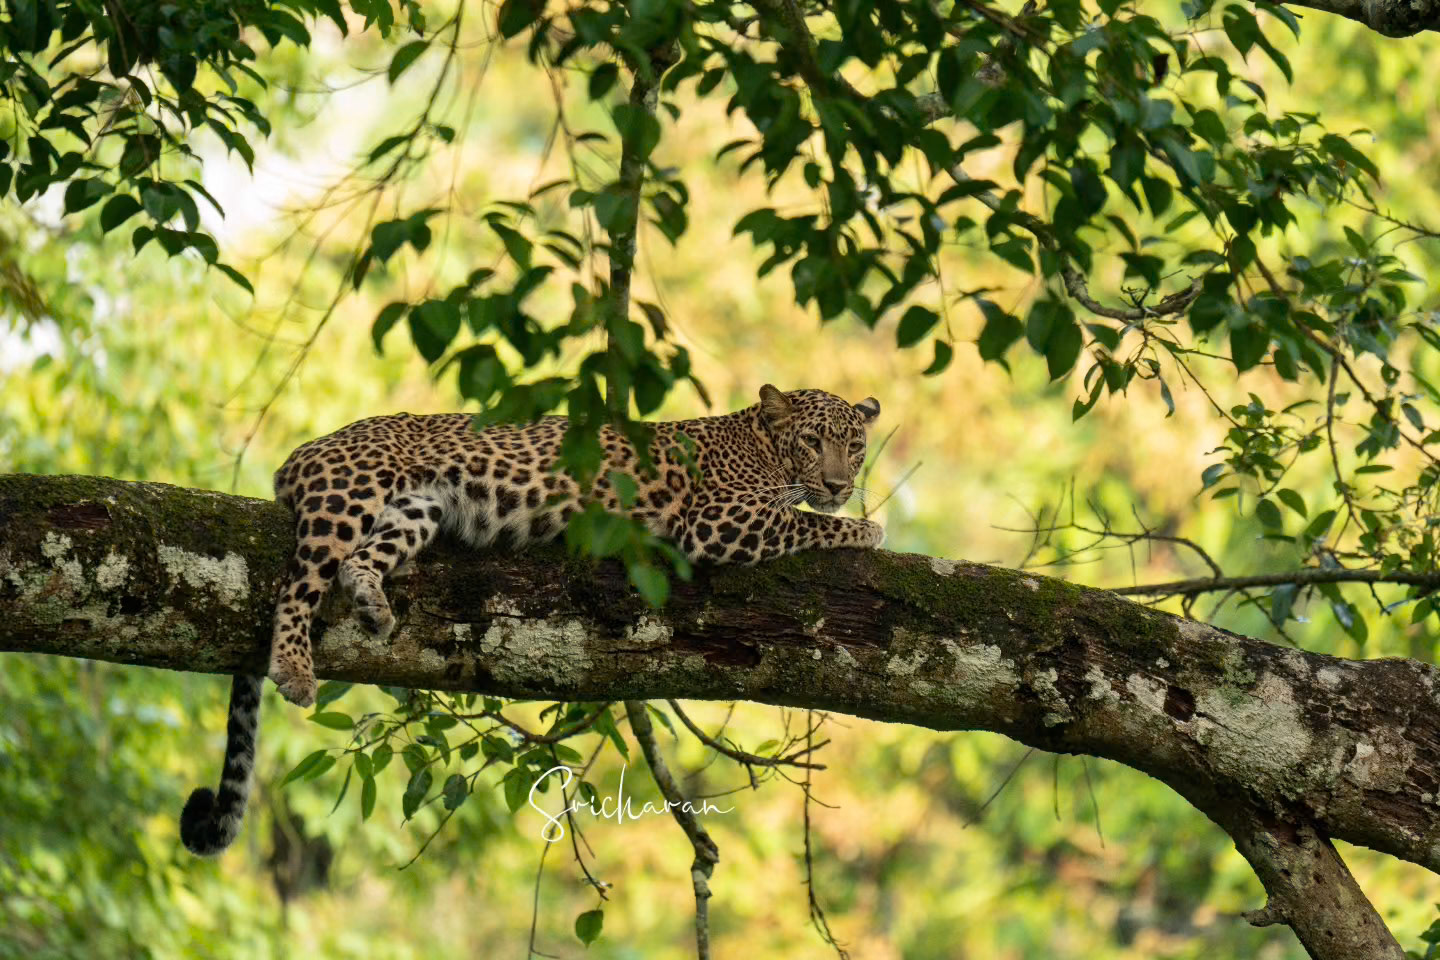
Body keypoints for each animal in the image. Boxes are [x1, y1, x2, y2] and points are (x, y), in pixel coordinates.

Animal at [179, 384, 884, 855]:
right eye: (812, 442)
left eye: (854, 445)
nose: (840, 483)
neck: (760, 442)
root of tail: (299, 455)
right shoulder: (719, 522)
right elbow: (805, 520)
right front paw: (867, 527)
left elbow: (806, 515)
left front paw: (857, 515)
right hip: (348, 495)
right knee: (298, 586)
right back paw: (295, 668)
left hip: (418, 510)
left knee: (356, 563)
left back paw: (374, 604)